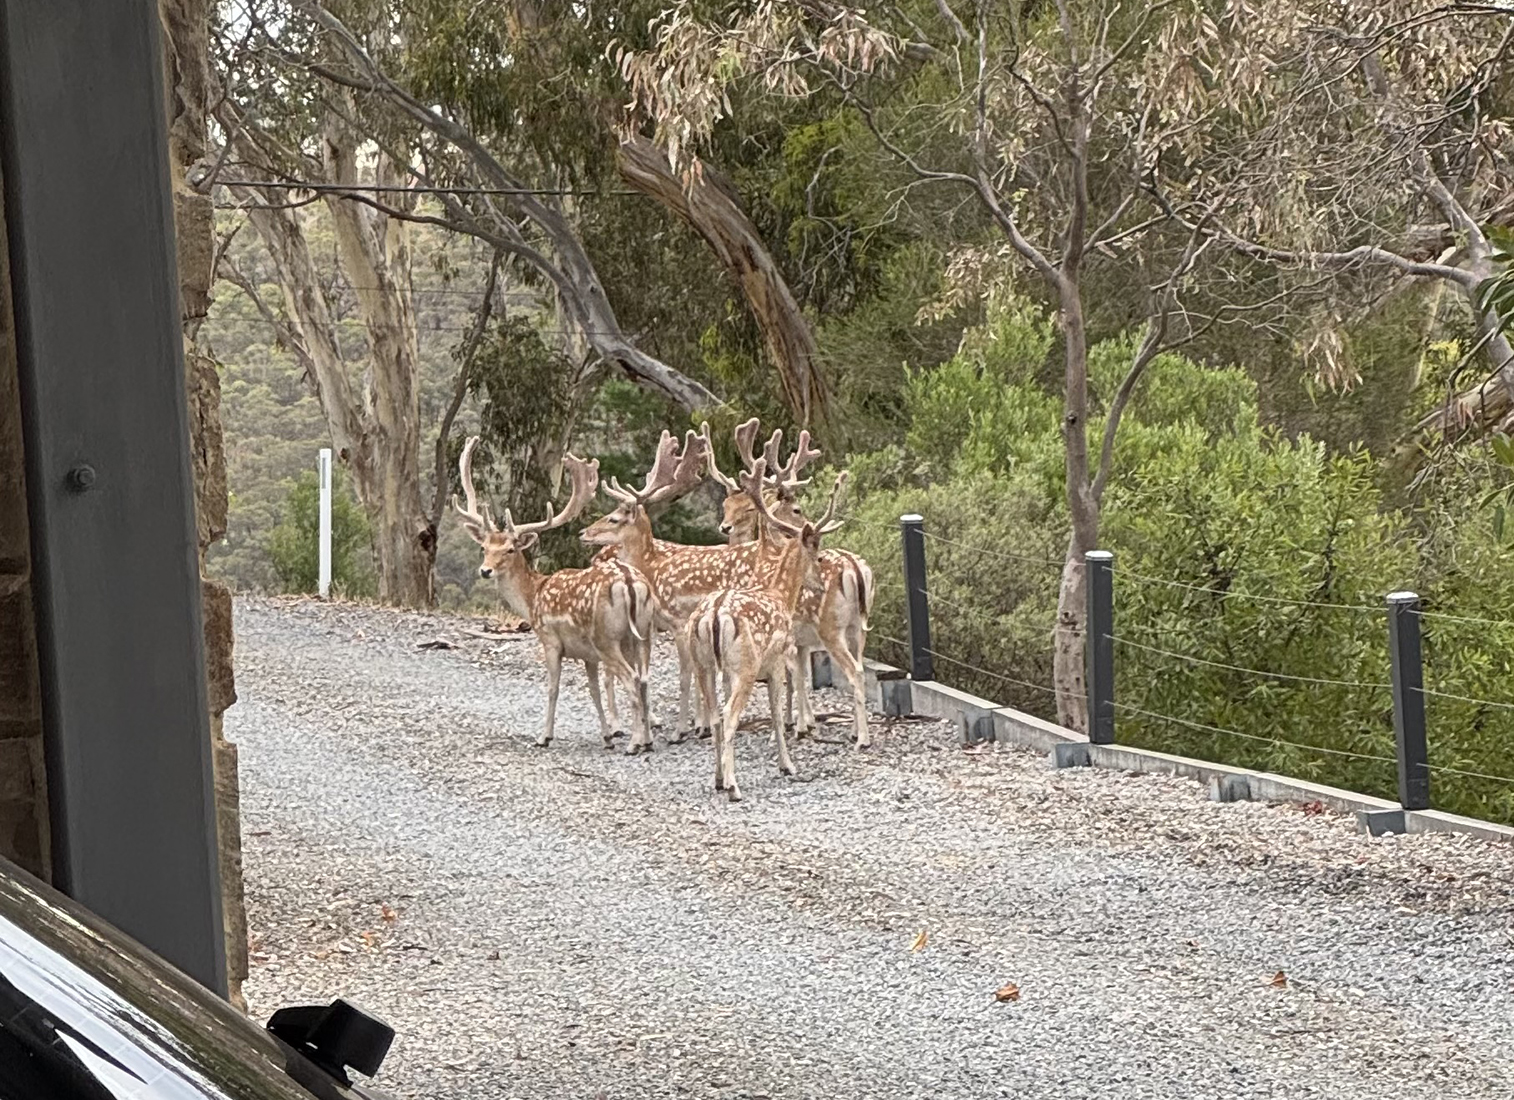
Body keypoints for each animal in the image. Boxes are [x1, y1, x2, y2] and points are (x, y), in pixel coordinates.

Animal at [453, 436, 656, 753]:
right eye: (484, 547)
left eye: (509, 550)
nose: (485, 570)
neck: (532, 596)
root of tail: (629, 582)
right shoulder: (588, 654)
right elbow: (593, 690)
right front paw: (606, 736)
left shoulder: (550, 639)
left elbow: (552, 687)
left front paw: (544, 736)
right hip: (643, 634)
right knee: (645, 679)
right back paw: (646, 739)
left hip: (607, 638)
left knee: (633, 680)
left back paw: (635, 743)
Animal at [686, 459, 845, 801]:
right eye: (818, 555)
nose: (820, 583)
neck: (780, 595)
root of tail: (714, 614)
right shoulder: (776, 660)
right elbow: (775, 711)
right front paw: (788, 765)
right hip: (745, 664)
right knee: (729, 717)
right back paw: (734, 787)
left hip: (703, 662)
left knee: (716, 716)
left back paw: (718, 779)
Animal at [704, 419, 876, 749]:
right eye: (726, 503)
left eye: (746, 507)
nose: (725, 527)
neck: (764, 560)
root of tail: (854, 570)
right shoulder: (800, 641)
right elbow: (799, 677)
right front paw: (802, 723)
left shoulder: (789, 638)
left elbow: (791, 677)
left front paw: (793, 727)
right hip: (858, 627)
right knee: (859, 666)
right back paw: (853, 730)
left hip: (830, 628)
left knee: (855, 671)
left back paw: (862, 738)